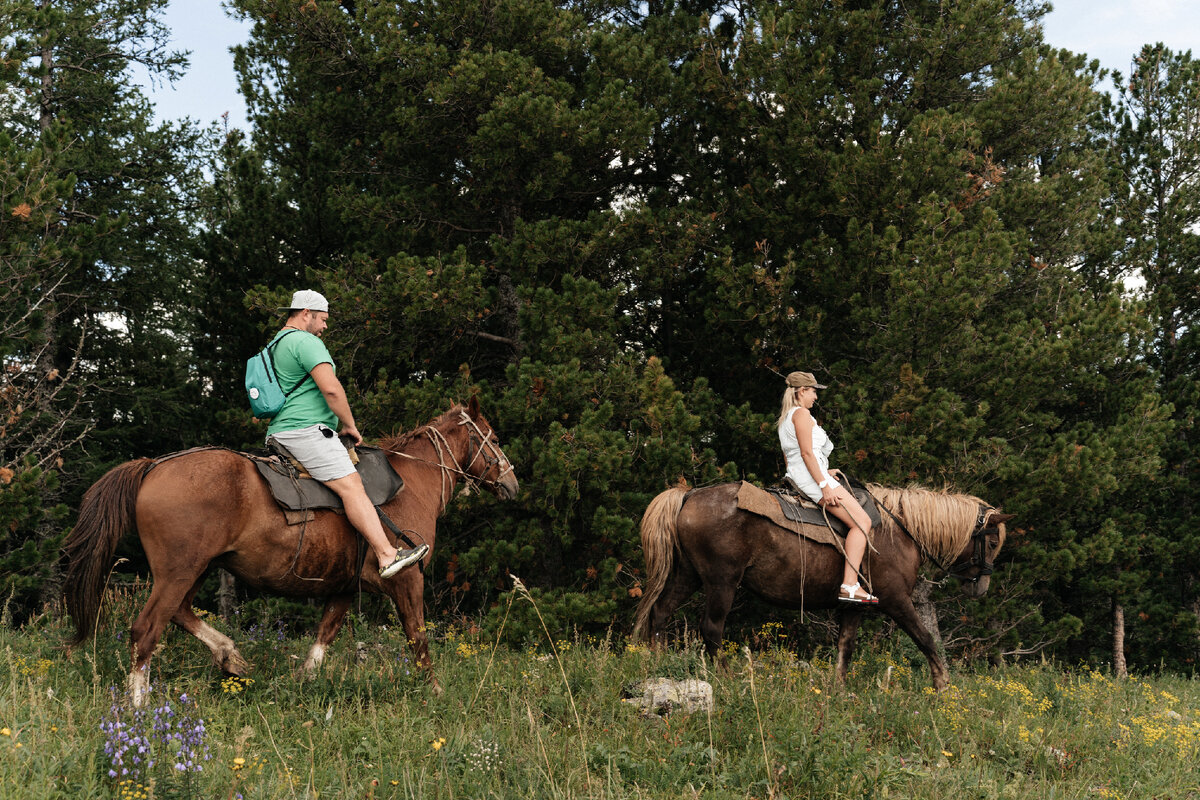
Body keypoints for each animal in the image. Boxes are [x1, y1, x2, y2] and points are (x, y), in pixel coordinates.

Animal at [633, 482, 1008, 695]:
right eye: (991, 543)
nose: (981, 587)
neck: (898, 531)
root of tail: (688, 495)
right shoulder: (895, 600)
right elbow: (926, 640)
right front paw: (943, 686)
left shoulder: (854, 606)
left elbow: (845, 648)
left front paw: (839, 692)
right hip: (721, 581)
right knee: (711, 628)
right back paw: (729, 678)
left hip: (688, 575)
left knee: (660, 612)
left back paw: (657, 664)